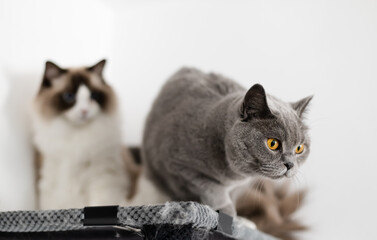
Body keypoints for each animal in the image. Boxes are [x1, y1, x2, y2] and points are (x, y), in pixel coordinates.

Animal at [141, 67, 312, 216]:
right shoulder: (179, 165)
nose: (290, 164)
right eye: (273, 143)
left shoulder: (241, 186)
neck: (234, 174)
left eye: (299, 148)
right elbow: (211, 188)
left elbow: (232, 195)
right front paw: (227, 211)